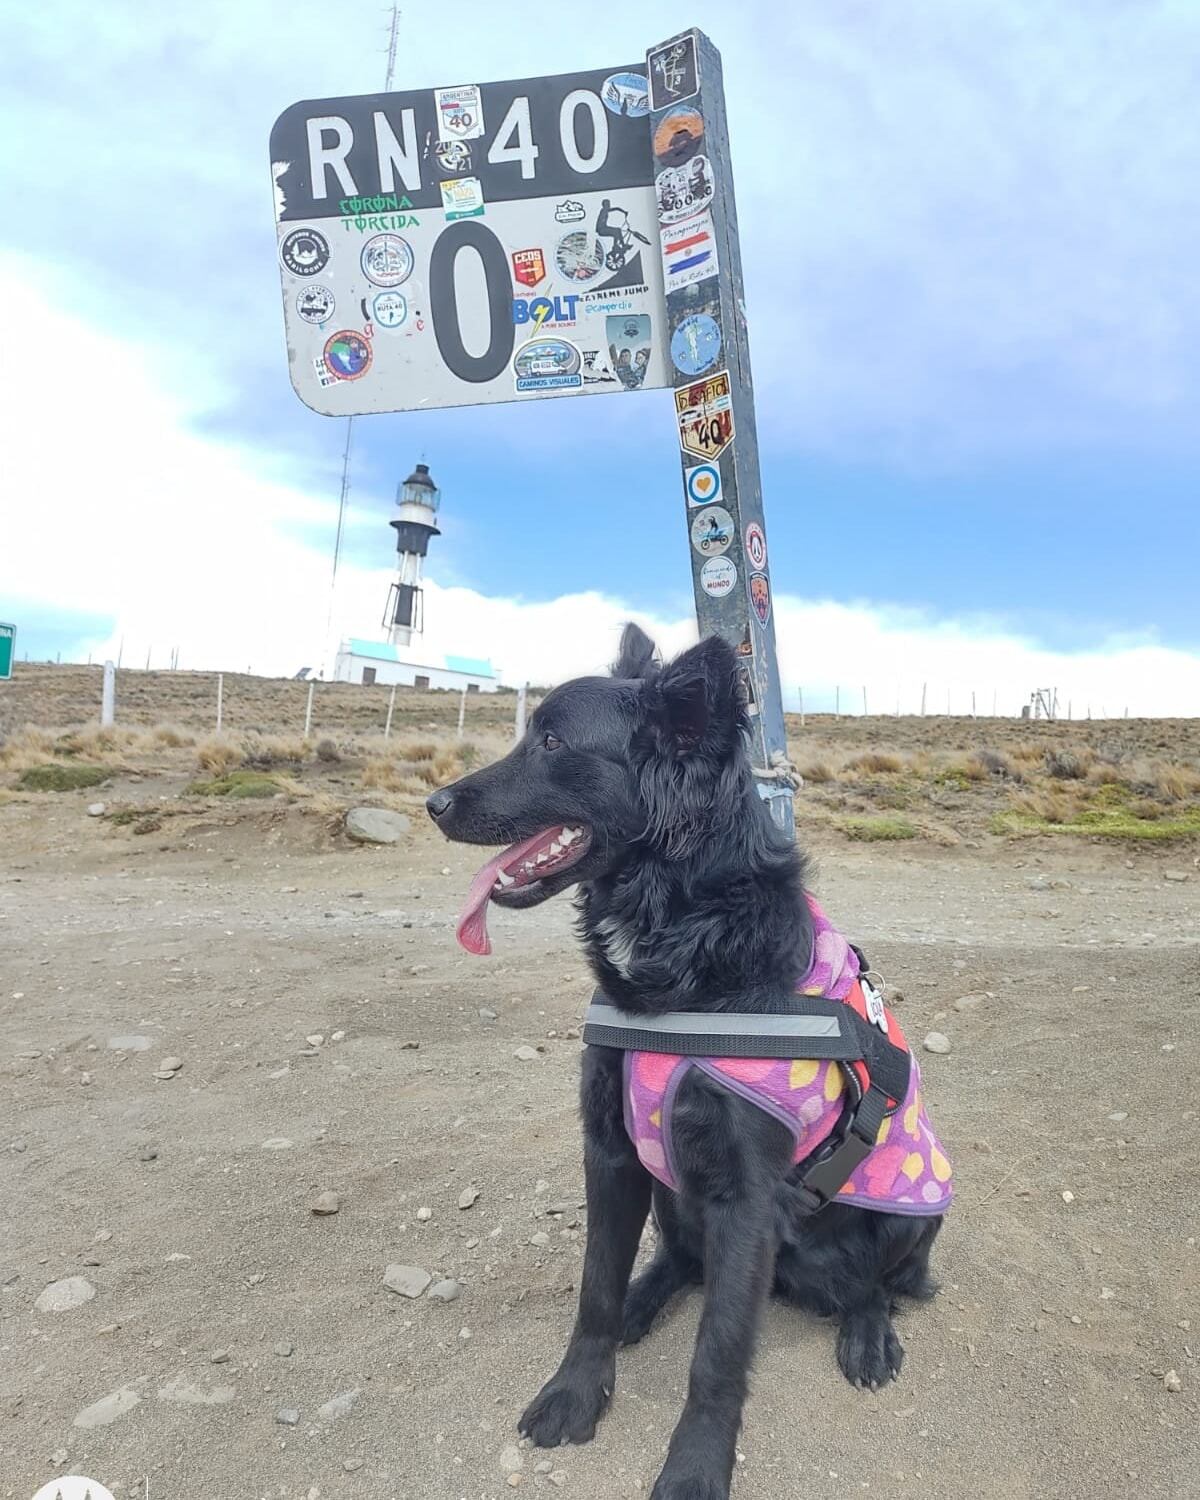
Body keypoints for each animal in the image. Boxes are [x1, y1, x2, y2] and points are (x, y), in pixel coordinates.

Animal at [426, 624, 942, 1500]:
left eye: (553, 742)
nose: (434, 804)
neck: (683, 937)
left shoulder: (748, 1193)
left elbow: (719, 1353)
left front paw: (696, 1466)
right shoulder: (611, 1151)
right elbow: (595, 1288)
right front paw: (576, 1390)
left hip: (916, 1215)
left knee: (873, 1285)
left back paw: (867, 1332)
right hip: (671, 1189)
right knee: (678, 1259)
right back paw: (646, 1299)